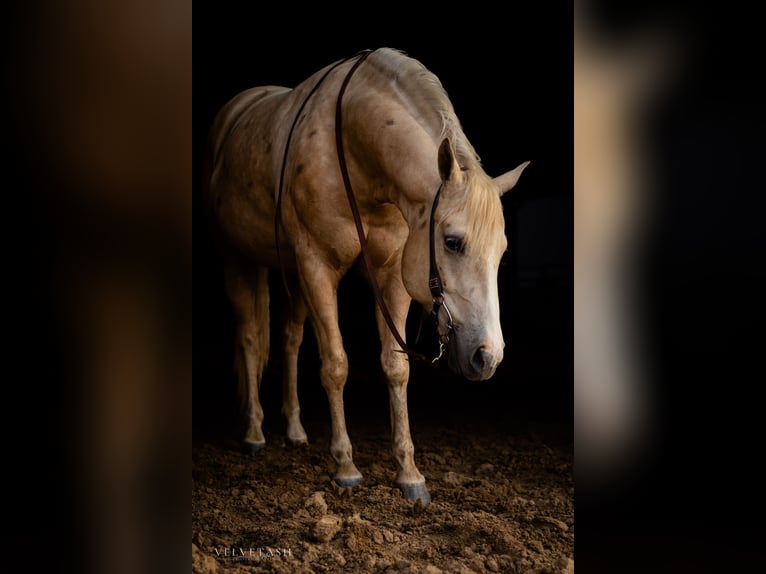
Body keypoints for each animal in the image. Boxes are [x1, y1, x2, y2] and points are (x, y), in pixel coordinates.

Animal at [204, 48, 529, 503]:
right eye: (452, 242)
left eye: (502, 252)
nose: (489, 356)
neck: (354, 153)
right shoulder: (318, 267)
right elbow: (336, 363)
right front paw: (345, 466)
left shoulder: (392, 275)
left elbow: (395, 367)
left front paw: (409, 473)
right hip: (237, 259)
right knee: (250, 336)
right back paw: (254, 432)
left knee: (289, 340)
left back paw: (295, 430)